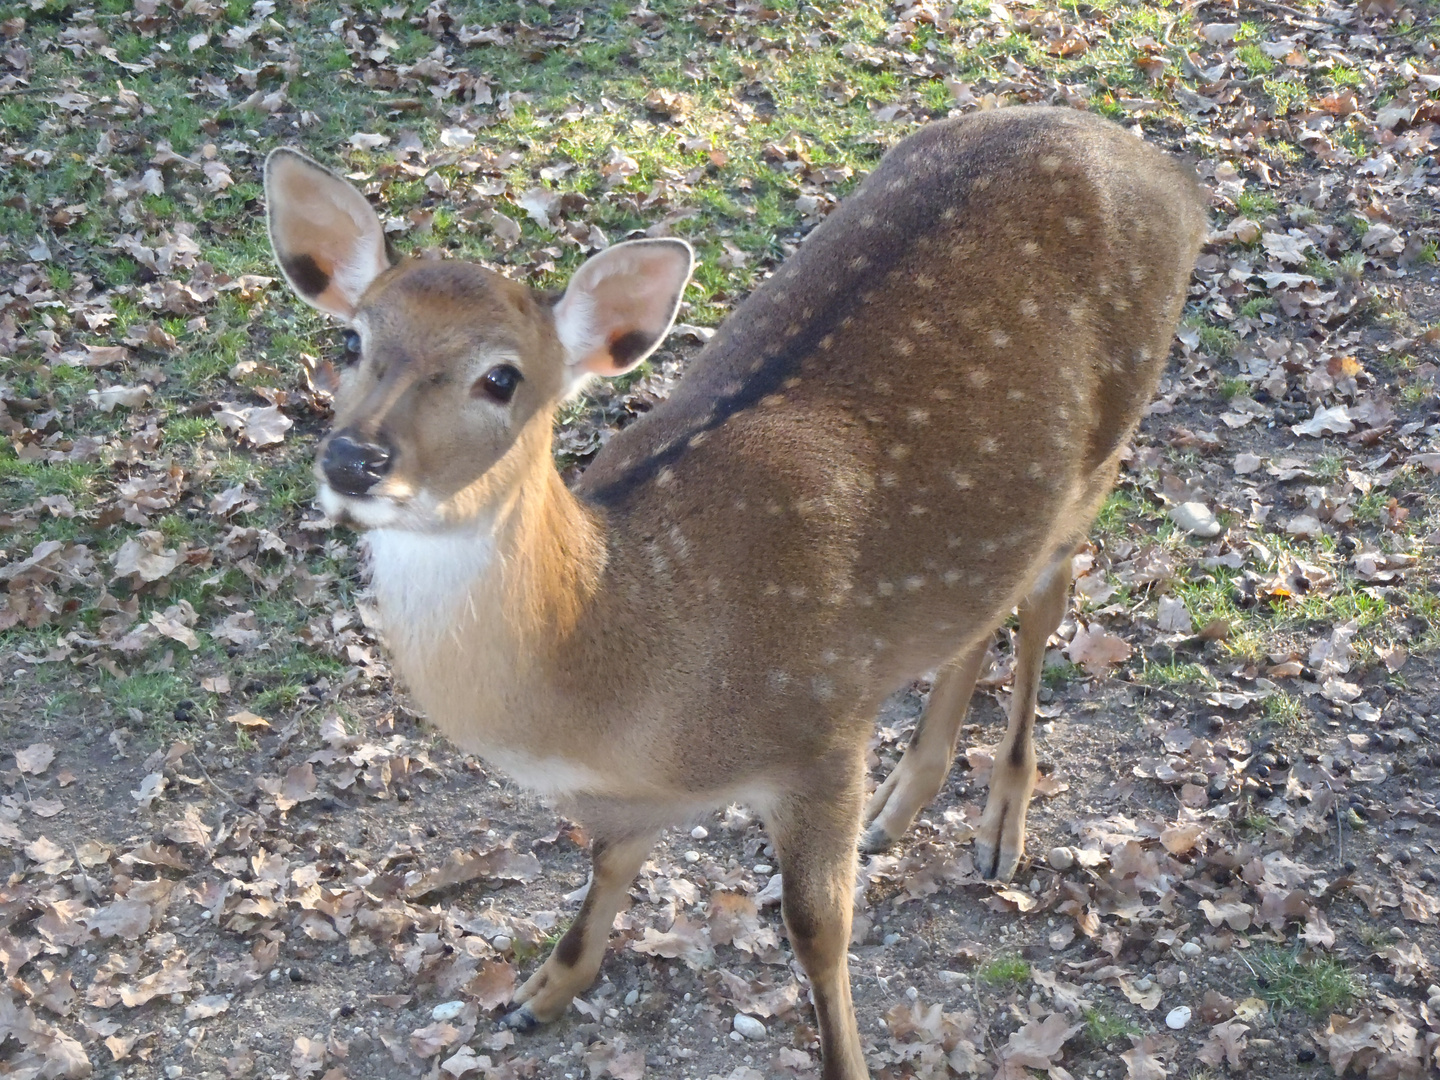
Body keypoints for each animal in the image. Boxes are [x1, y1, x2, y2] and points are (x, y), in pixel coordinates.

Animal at [264, 108, 1209, 1080]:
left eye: (502, 377)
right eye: (350, 341)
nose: (355, 458)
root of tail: (1174, 177)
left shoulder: (823, 732)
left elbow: (818, 930)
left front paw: (845, 1061)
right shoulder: (642, 794)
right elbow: (610, 862)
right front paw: (540, 992)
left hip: (1105, 449)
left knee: (1046, 601)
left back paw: (998, 828)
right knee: (983, 609)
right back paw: (900, 807)